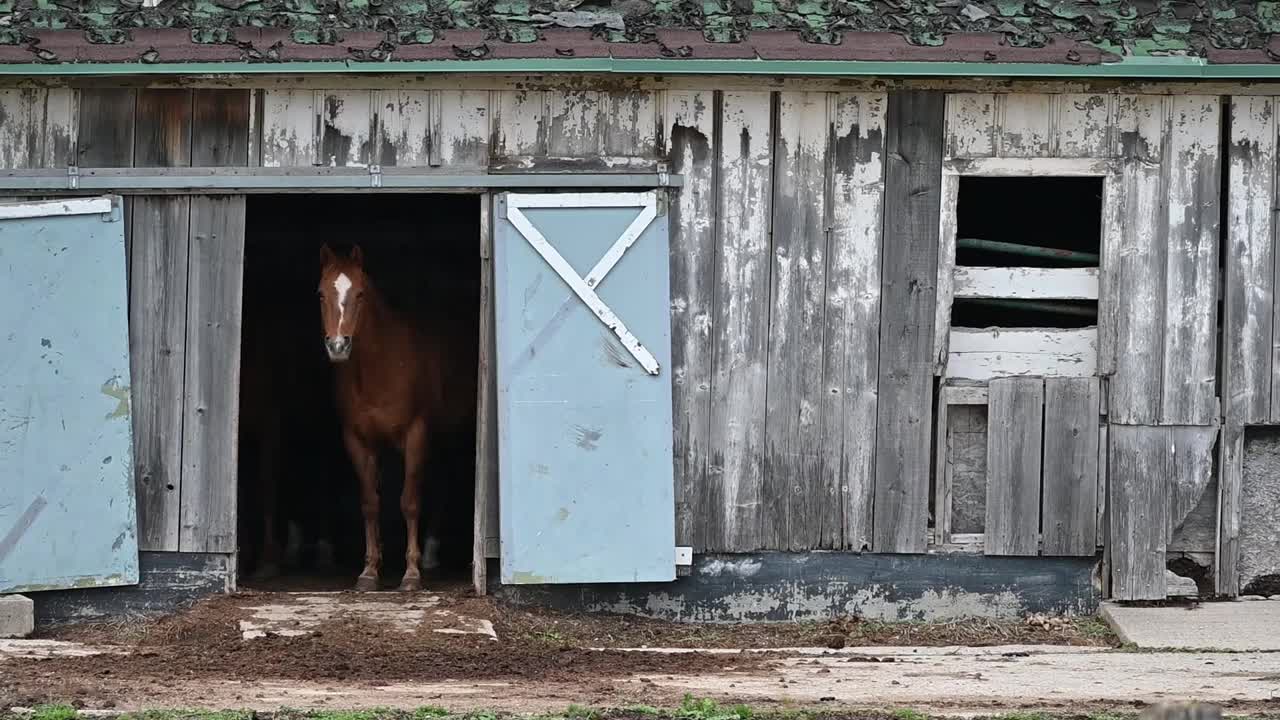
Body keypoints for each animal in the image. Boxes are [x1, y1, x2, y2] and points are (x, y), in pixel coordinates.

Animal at [317, 242, 473, 589]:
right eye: (321, 293)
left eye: (360, 293)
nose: (338, 346)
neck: (379, 368)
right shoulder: (357, 441)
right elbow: (370, 502)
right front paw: (370, 571)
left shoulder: (416, 434)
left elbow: (409, 501)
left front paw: (411, 573)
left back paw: (430, 555)